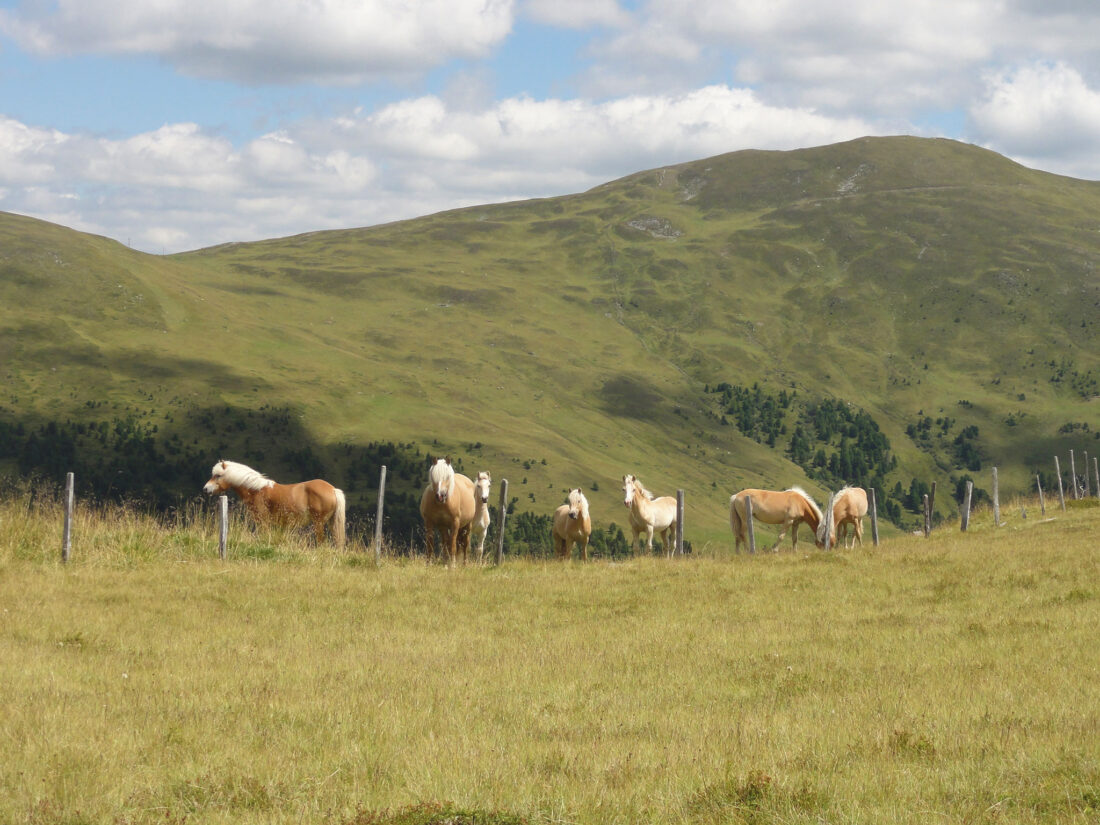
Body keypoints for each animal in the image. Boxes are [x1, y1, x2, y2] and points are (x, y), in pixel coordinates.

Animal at [202, 459, 345, 550]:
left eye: (218, 475)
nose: (206, 489)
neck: (256, 490)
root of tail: (333, 489)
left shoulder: (263, 520)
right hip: (331, 523)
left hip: (318, 523)